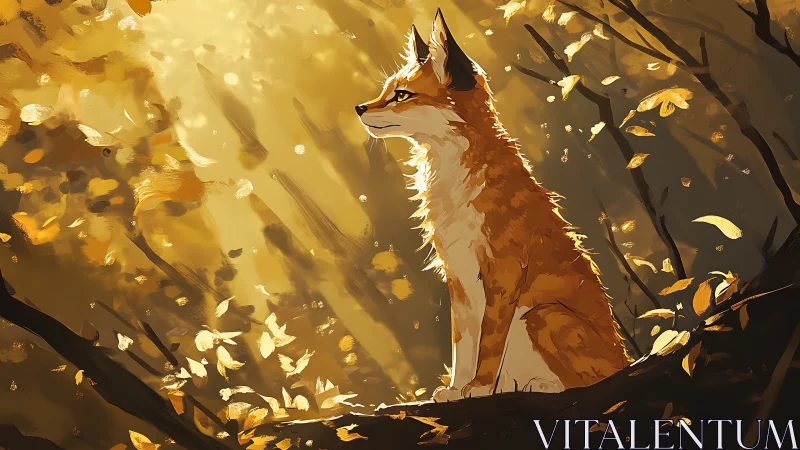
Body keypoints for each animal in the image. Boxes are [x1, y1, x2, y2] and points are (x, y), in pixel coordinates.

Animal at [356, 9, 632, 401]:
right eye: (386, 91)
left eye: (402, 95)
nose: (359, 108)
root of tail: (626, 358)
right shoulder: (457, 276)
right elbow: (463, 347)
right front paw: (456, 390)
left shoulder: (503, 271)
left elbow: (488, 345)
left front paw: (480, 388)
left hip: (542, 315)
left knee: (589, 383)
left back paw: (538, 386)